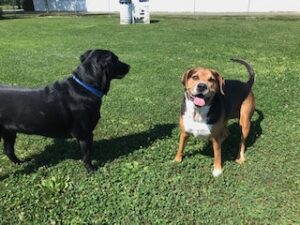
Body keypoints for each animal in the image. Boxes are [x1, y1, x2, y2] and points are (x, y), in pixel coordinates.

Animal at [0, 49, 130, 171]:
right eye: (116, 59)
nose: (129, 66)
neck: (85, 87)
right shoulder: (85, 134)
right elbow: (87, 155)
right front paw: (91, 169)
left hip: (9, 132)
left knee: (8, 151)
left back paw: (20, 163)